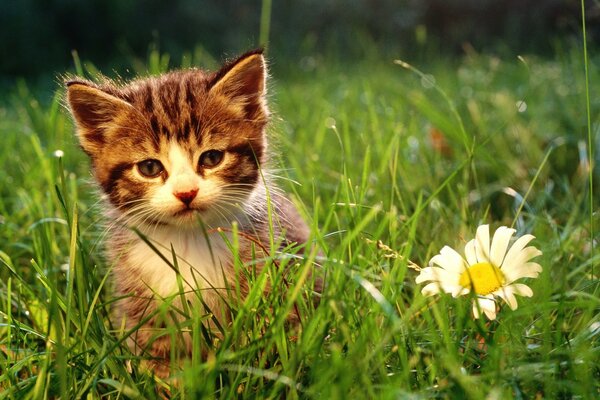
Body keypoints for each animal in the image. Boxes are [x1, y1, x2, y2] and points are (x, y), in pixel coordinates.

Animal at [65, 50, 312, 378]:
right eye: (149, 167)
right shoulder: (139, 300)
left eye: (212, 157)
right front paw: (166, 379)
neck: (188, 241)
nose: (186, 193)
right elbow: (156, 350)